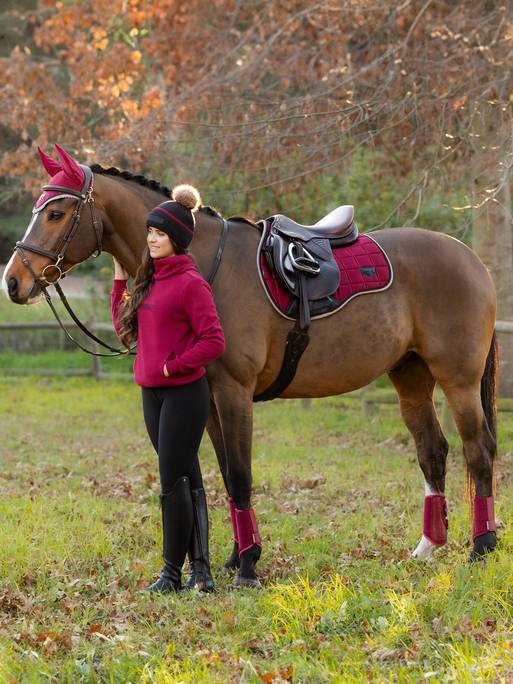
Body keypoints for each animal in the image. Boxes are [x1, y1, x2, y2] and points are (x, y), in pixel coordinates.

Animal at [1, 144, 496, 588]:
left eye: (56, 213)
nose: (13, 281)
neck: (205, 263)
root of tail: (471, 259)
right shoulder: (208, 400)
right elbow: (223, 474)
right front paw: (233, 558)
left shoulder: (234, 392)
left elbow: (240, 475)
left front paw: (247, 566)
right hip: (410, 377)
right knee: (433, 452)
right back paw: (428, 547)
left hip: (459, 382)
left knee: (479, 452)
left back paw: (481, 548)